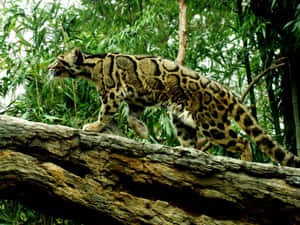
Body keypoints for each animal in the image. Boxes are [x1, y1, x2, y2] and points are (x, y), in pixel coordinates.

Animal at [48, 47, 298, 167]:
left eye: (59, 59)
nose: (49, 67)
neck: (91, 66)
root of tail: (225, 90)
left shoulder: (111, 92)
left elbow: (105, 113)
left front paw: (93, 126)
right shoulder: (136, 99)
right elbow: (132, 117)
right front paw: (142, 131)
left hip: (212, 124)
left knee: (243, 141)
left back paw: (246, 163)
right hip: (181, 120)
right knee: (192, 143)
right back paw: (184, 151)